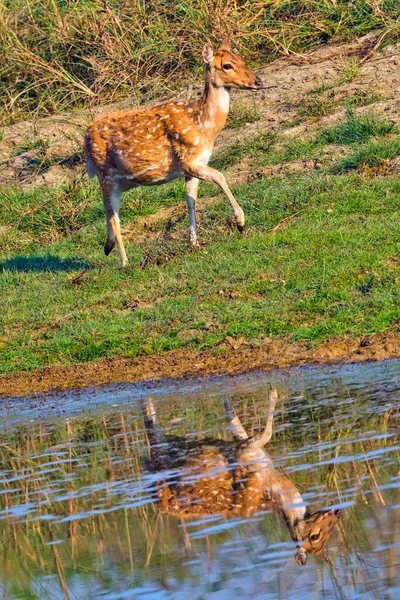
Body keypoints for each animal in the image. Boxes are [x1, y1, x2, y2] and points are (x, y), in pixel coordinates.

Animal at [84, 38, 262, 266]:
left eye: (241, 58)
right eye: (227, 65)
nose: (258, 82)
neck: (203, 126)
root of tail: (85, 139)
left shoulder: (192, 167)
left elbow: (190, 200)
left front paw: (193, 242)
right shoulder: (188, 161)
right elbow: (220, 176)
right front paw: (240, 222)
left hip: (116, 181)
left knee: (107, 211)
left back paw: (108, 247)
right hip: (107, 176)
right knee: (114, 216)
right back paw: (125, 263)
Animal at [142, 392, 340, 564]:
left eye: (330, 531)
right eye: (315, 536)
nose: (337, 512)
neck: (274, 486)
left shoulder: (245, 444)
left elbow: (235, 420)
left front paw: (226, 398)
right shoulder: (246, 450)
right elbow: (267, 431)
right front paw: (273, 392)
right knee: (151, 429)